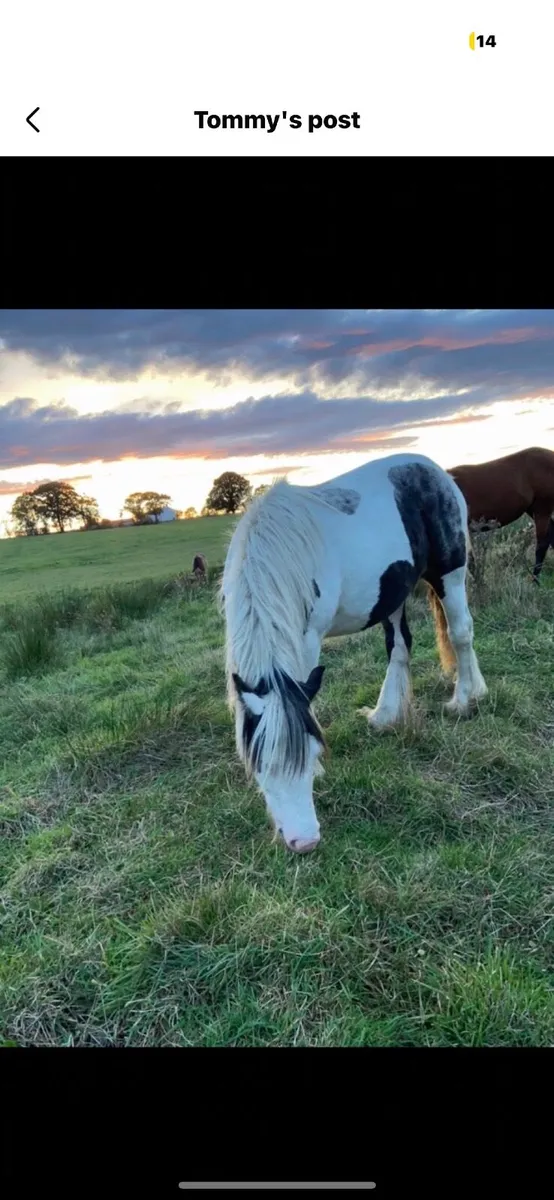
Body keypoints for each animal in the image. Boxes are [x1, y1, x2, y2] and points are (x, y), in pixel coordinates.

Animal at [221, 453, 487, 854]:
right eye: (261, 765)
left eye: (313, 753)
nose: (305, 842)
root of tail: (434, 469)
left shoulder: (309, 639)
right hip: (393, 592)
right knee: (400, 646)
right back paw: (385, 715)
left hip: (450, 574)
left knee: (461, 632)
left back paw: (464, 699)